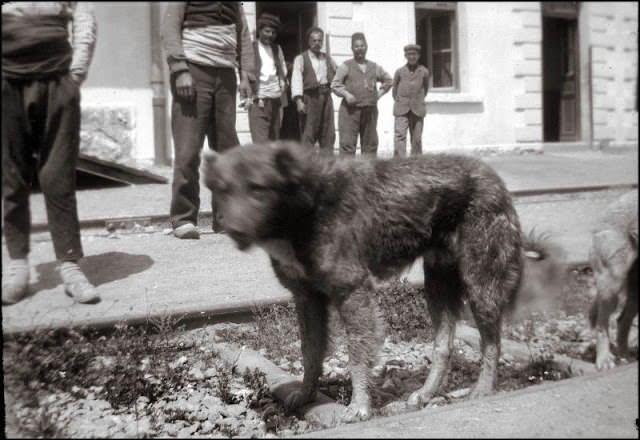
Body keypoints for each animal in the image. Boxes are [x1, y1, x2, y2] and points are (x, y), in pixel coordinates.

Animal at [204, 142, 524, 422]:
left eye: (257, 188)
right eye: (223, 190)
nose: (233, 229)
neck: (305, 207)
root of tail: (493, 176)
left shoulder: (352, 292)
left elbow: (356, 355)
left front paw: (359, 406)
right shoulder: (306, 298)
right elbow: (310, 352)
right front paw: (307, 394)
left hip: (480, 285)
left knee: (491, 342)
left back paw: (482, 388)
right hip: (437, 285)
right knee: (444, 345)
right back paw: (424, 394)